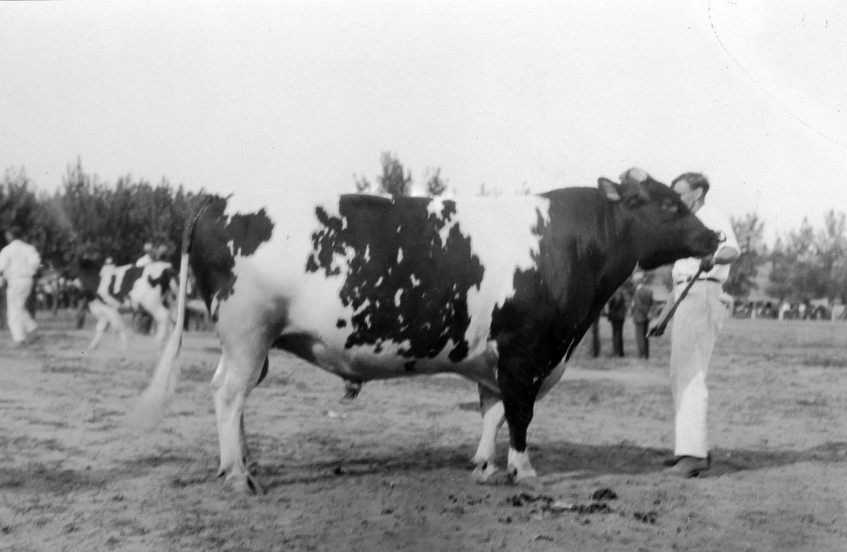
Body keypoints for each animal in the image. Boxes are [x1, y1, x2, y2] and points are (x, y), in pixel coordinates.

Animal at [136, 168, 720, 492]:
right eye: (670, 204)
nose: (714, 237)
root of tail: (218, 200)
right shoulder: (526, 351)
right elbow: (520, 413)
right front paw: (523, 470)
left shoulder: (495, 357)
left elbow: (492, 409)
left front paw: (484, 466)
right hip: (247, 330)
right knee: (227, 394)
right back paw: (238, 475)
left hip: (249, 341)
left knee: (235, 397)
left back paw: (241, 462)